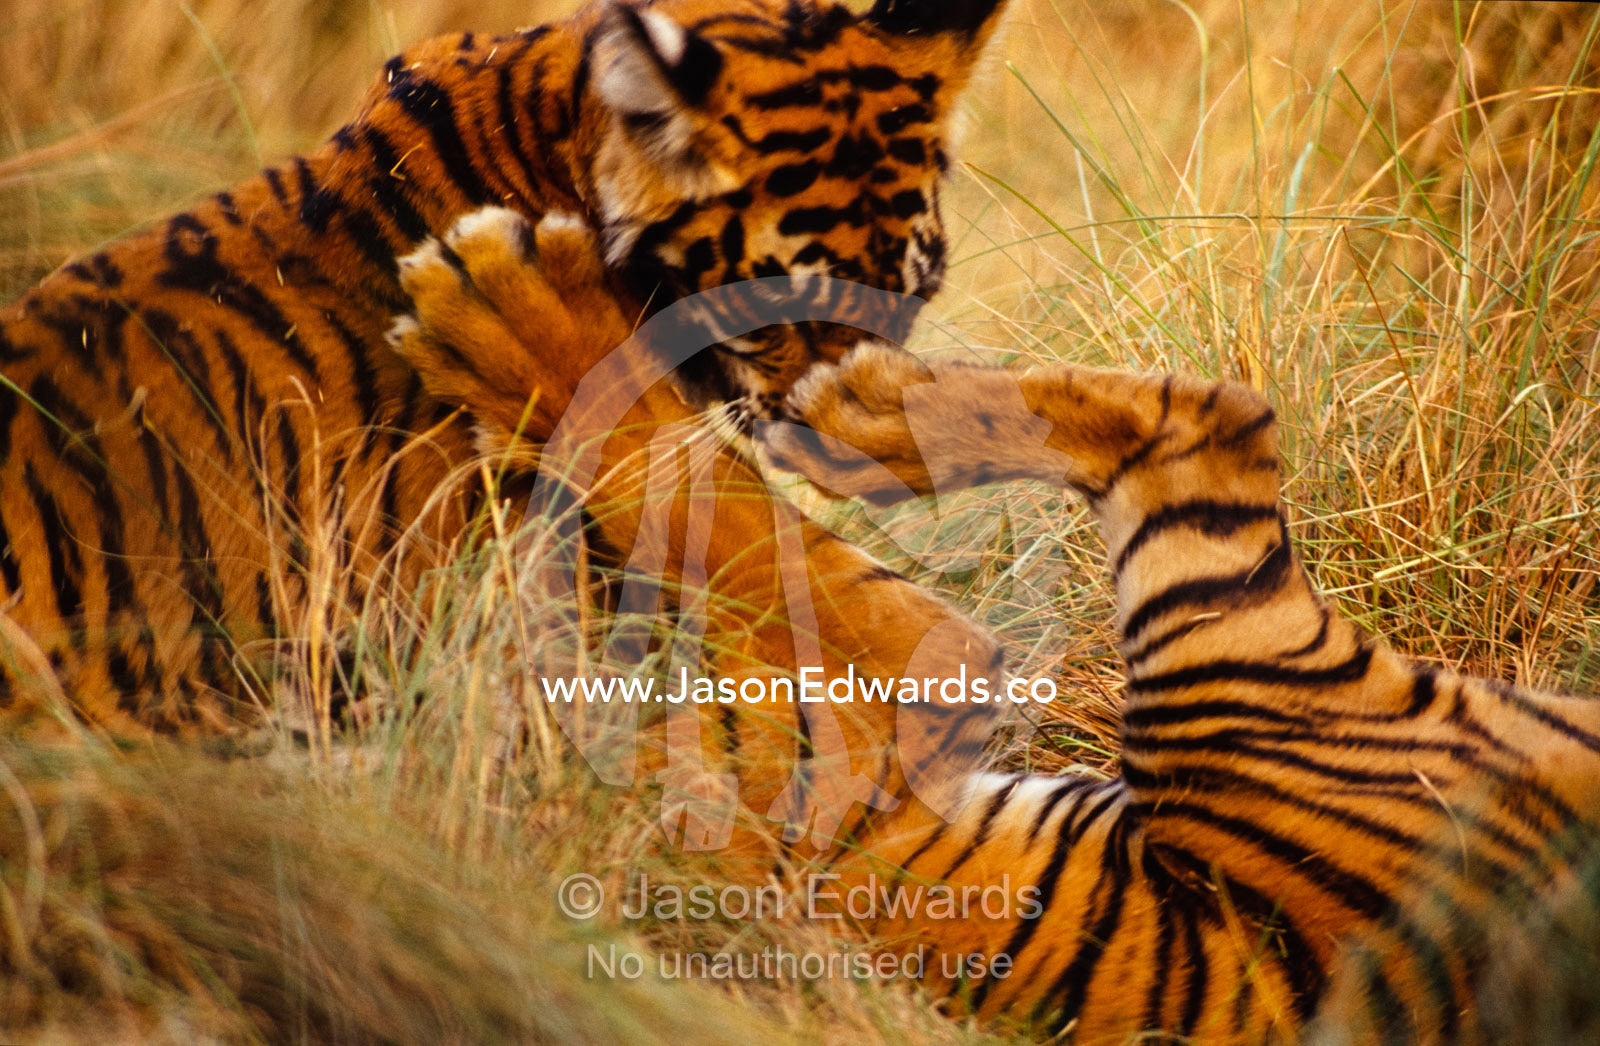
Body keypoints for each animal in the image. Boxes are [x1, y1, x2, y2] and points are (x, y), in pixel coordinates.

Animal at [389, 212, 1600, 1040]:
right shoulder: (896, 690)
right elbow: (683, 488)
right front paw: (506, 309)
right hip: (1229, 674)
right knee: (1205, 421)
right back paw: (855, 410)